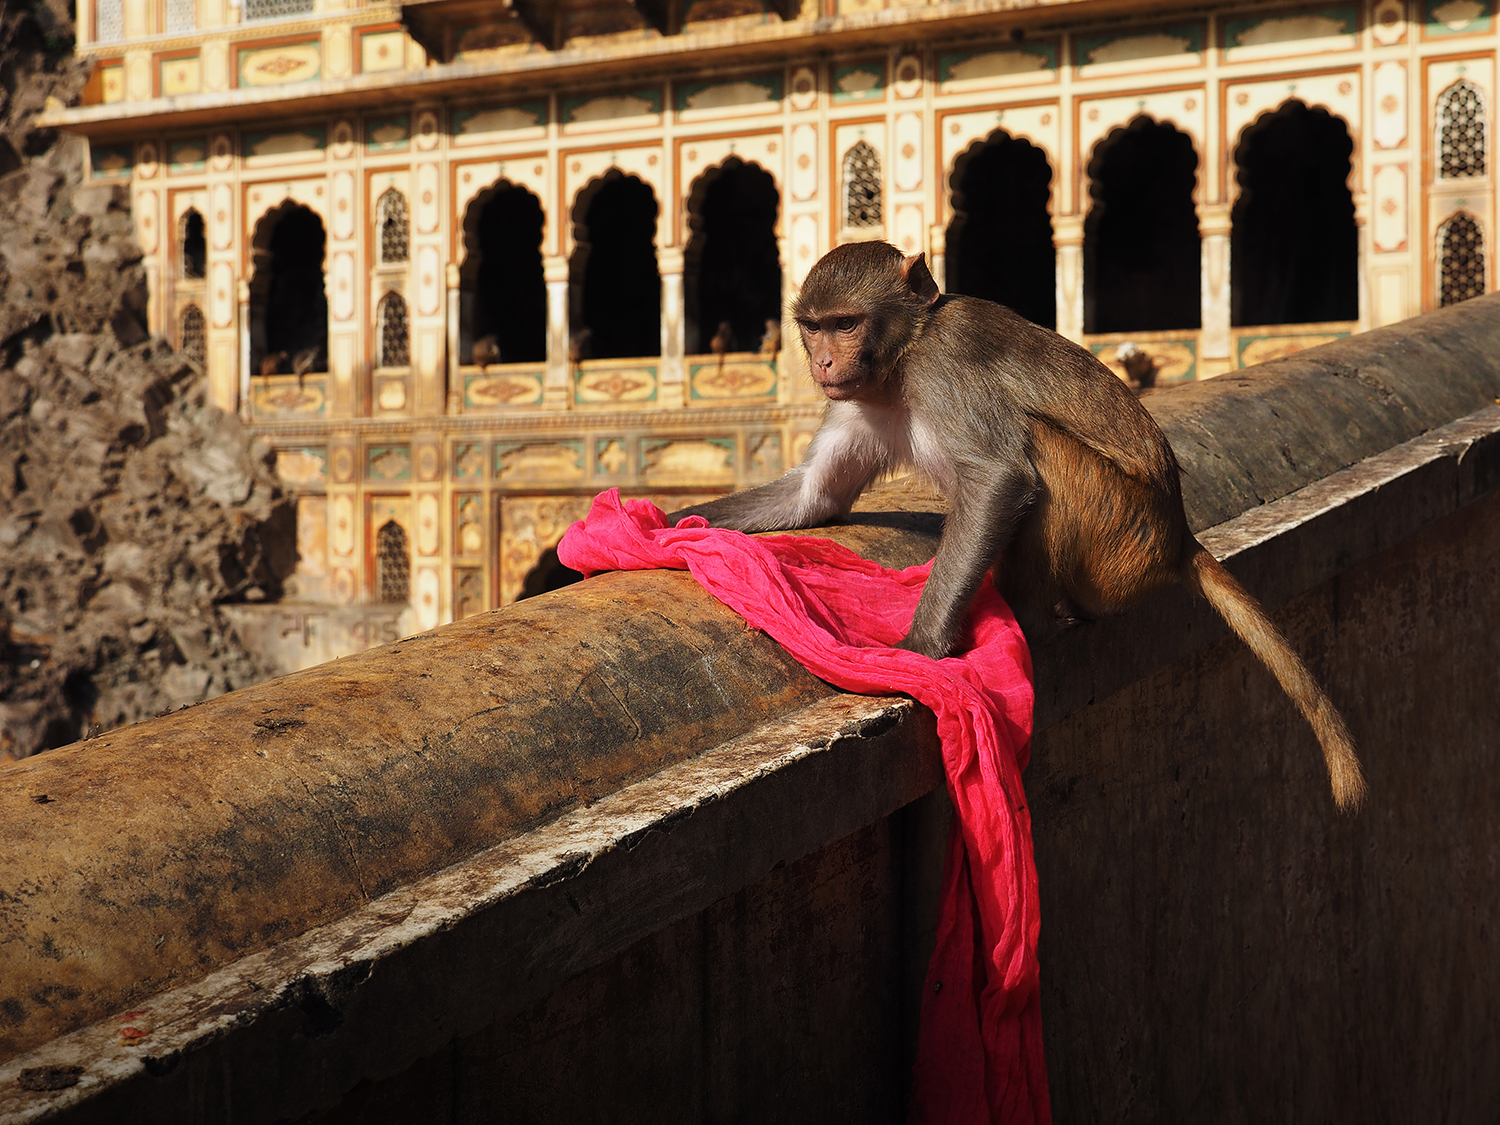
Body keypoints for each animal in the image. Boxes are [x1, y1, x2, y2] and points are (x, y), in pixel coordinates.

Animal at [670, 240, 1365, 812]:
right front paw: (665, 526)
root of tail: (1178, 535)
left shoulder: (944, 366)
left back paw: (1027, 620)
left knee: (1041, 452)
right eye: (812, 326)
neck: (901, 360)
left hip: (1118, 534)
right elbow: (814, 499)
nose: (820, 362)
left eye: (845, 323)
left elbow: (999, 477)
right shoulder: (857, 401)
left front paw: (919, 649)